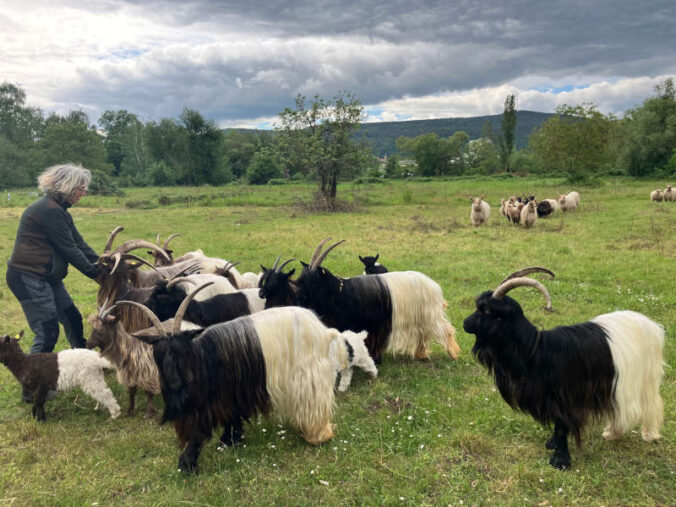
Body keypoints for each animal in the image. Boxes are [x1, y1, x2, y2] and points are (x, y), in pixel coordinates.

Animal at [258, 239, 460, 364]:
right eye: (300, 278)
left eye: (313, 280)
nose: (299, 296)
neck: (340, 294)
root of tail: (433, 285)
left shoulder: (373, 326)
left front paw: (375, 360)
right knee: (422, 335)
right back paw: (421, 354)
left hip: (430, 315)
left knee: (446, 330)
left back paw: (453, 353)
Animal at [462, 268, 664, 470]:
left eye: (487, 310)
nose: (465, 323)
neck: (535, 349)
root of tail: (653, 326)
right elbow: (557, 425)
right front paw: (553, 444)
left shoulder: (565, 398)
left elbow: (562, 426)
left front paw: (560, 460)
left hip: (641, 376)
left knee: (649, 403)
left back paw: (646, 434)